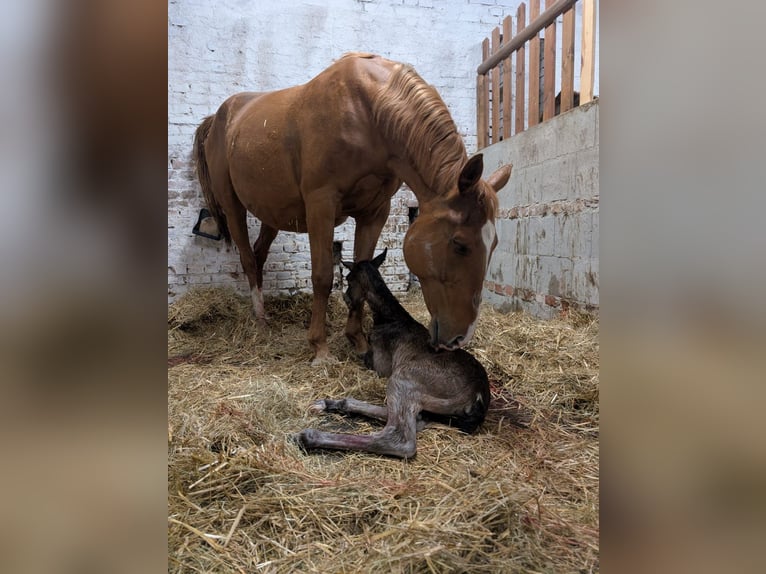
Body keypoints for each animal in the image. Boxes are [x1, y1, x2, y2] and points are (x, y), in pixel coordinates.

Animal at [193, 52, 512, 364]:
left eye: (495, 243)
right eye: (459, 244)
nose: (460, 338)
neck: (369, 114)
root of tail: (219, 117)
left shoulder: (375, 212)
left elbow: (363, 268)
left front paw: (357, 339)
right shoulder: (321, 205)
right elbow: (323, 276)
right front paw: (320, 348)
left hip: (272, 211)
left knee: (258, 256)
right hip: (233, 206)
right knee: (248, 259)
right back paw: (260, 320)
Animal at [296, 249, 490, 459]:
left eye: (348, 278)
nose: (347, 298)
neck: (389, 318)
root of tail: (478, 394)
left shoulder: (381, 366)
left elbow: (364, 356)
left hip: (403, 378)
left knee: (399, 438)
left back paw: (310, 436)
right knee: (409, 417)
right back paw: (327, 403)